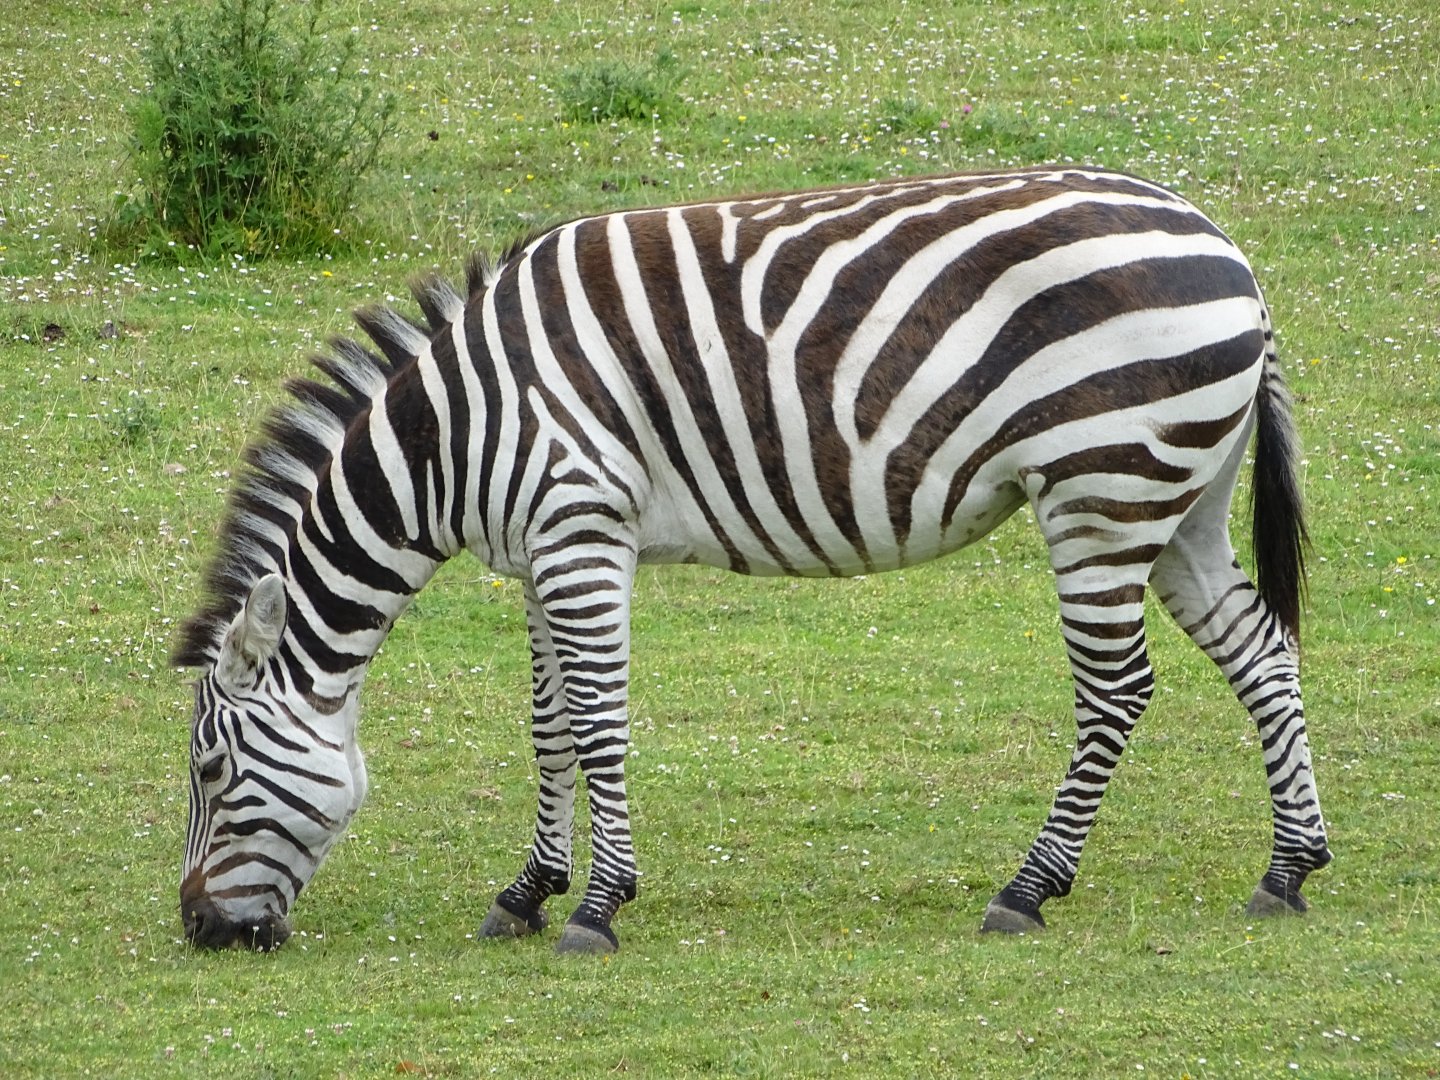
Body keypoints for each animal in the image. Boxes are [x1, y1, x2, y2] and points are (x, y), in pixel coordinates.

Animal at [174, 166, 1331, 953]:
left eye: (212, 770)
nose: (199, 930)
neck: (453, 437)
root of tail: (1224, 246)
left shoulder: (582, 530)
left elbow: (598, 722)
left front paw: (598, 906)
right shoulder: (541, 550)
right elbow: (549, 729)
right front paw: (527, 892)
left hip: (1102, 488)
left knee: (1117, 690)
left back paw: (1029, 888)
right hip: (1178, 498)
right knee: (1262, 652)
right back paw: (1288, 869)